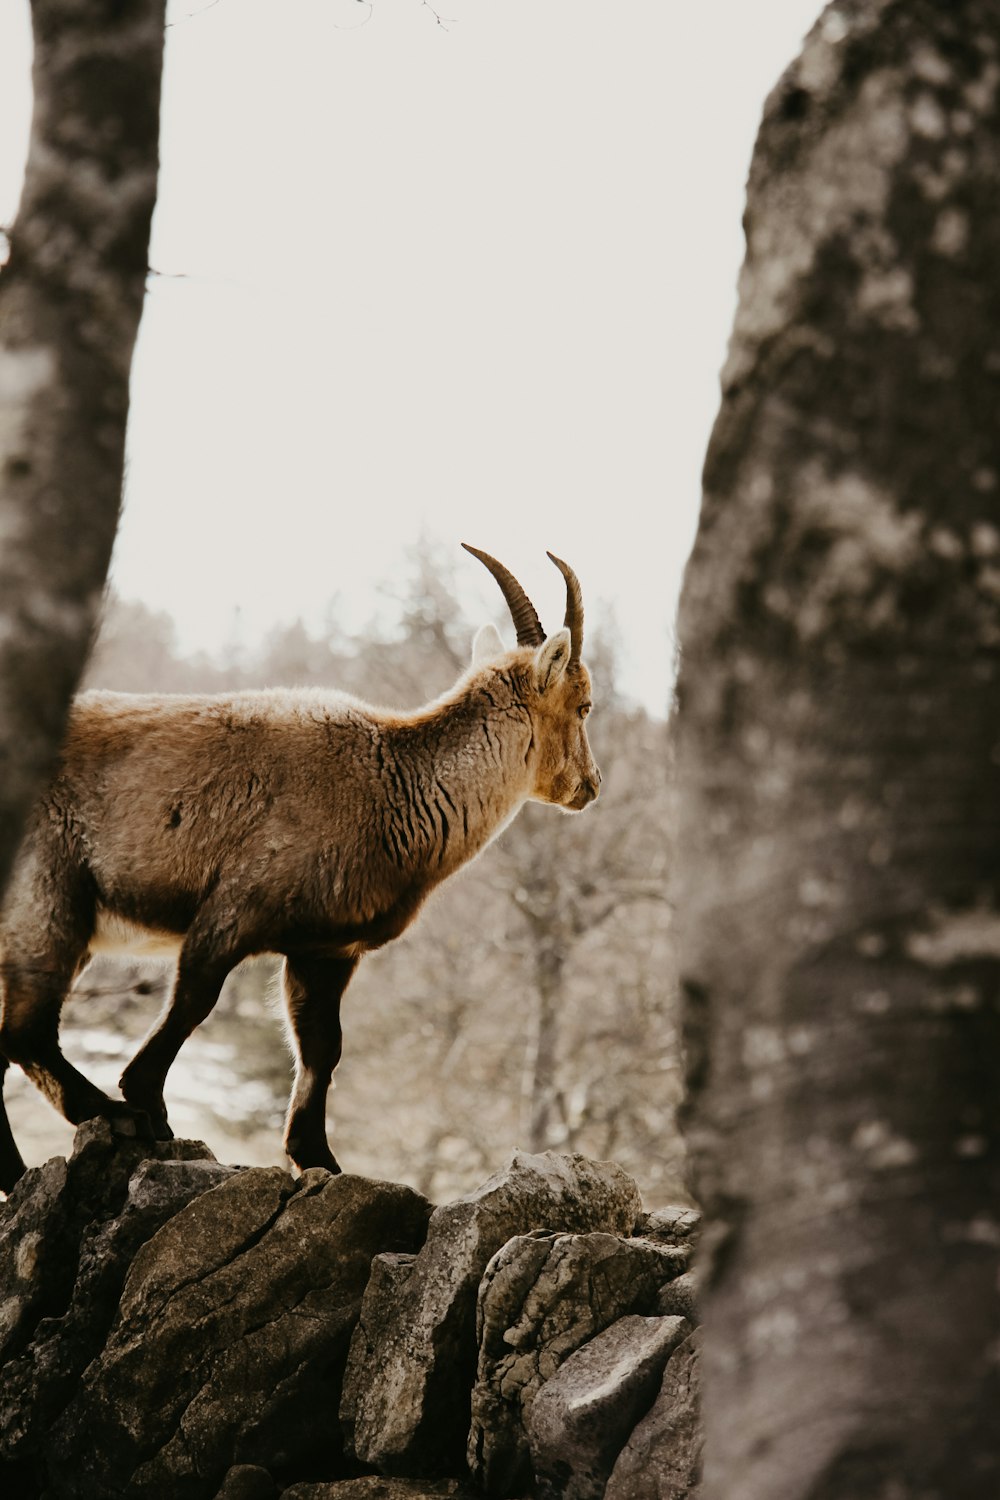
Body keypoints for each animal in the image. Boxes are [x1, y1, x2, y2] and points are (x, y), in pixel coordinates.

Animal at [0, 546, 602, 1188]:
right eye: (584, 705)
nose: (591, 786)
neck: (391, 784)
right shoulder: (234, 909)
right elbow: (194, 1001)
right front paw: (146, 1105)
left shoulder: (324, 950)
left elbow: (322, 1048)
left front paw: (317, 1156)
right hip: (47, 896)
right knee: (24, 1033)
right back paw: (110, 1118)